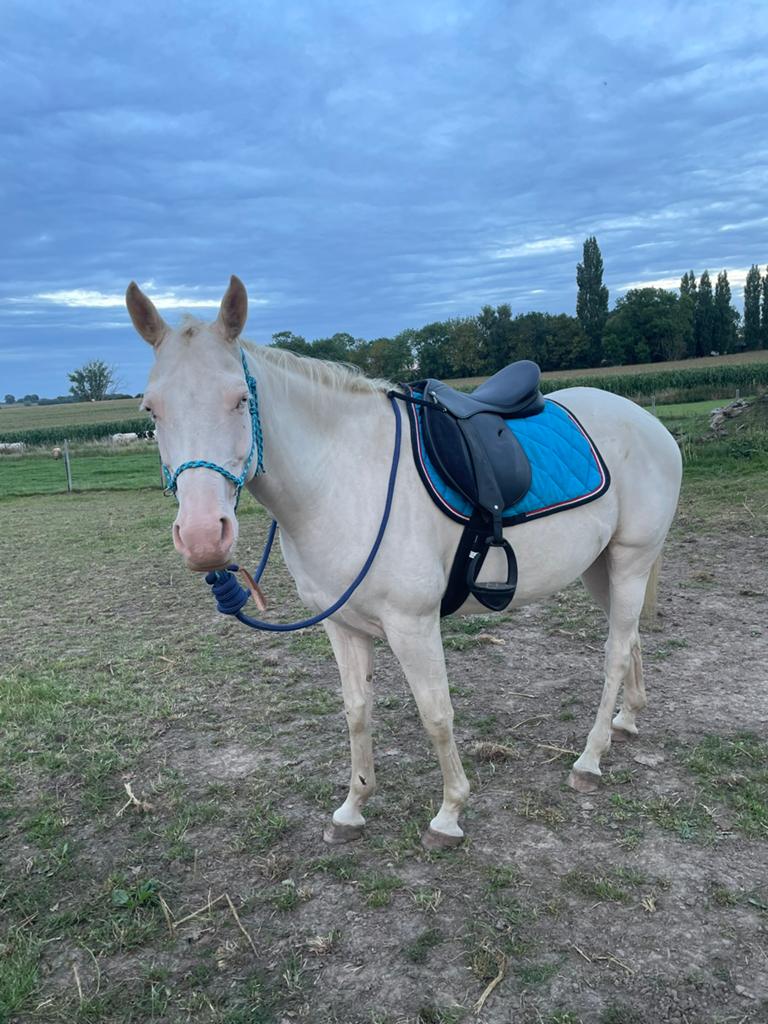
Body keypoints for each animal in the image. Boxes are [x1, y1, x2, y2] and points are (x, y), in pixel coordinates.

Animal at [126, 276, 682, 850]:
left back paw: (590, 759)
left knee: (614, 652)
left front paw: (449, 814)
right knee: (630, 639)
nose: (201, 538)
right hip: (601, 568)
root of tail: (646, 420)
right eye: (151, 410)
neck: (345, 477)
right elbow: (356, 711)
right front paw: (352, 808)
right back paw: (626, 720)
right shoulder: (343, 625)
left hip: (631, 561)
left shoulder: (412, 624)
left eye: (239, 399)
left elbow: (435, 713)